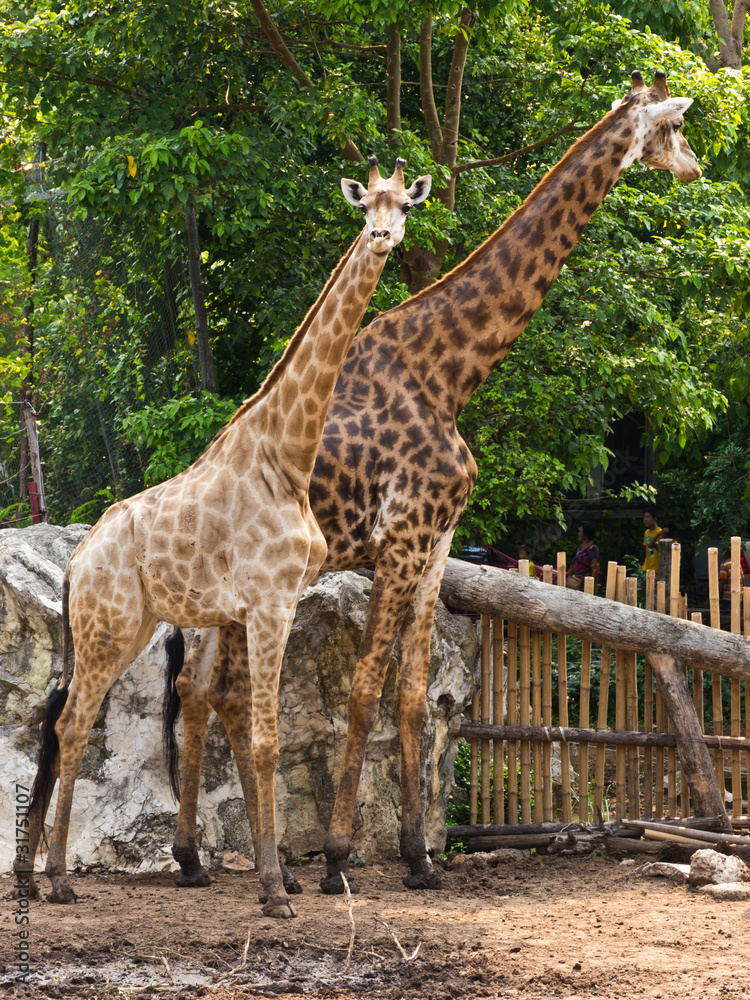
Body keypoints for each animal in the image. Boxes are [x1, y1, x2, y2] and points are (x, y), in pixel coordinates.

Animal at [20, 157, 431, 918]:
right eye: (366, 208)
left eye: (404, 206)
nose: (384, 237)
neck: (286, 455)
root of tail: (74, 562)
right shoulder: (270, 600)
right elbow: (266, 739)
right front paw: (274, 892)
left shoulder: (261, 605)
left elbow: (248, 728)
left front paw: (274, 880)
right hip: (107, 626)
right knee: (72, 724)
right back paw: (56, 879)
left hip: (124, 627)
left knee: (68, 722)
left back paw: (36, 877)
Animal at [165, 70, 701, 895]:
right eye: (674, 128)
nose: (697, 168)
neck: (449, 375)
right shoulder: (401, 539)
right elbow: (364, 692)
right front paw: (338, 860)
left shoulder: (438, 545)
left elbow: (414, 697)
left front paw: (418, 858)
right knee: (206, 687)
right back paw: (235, 862)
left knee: (205, 689)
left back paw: (205, 859)